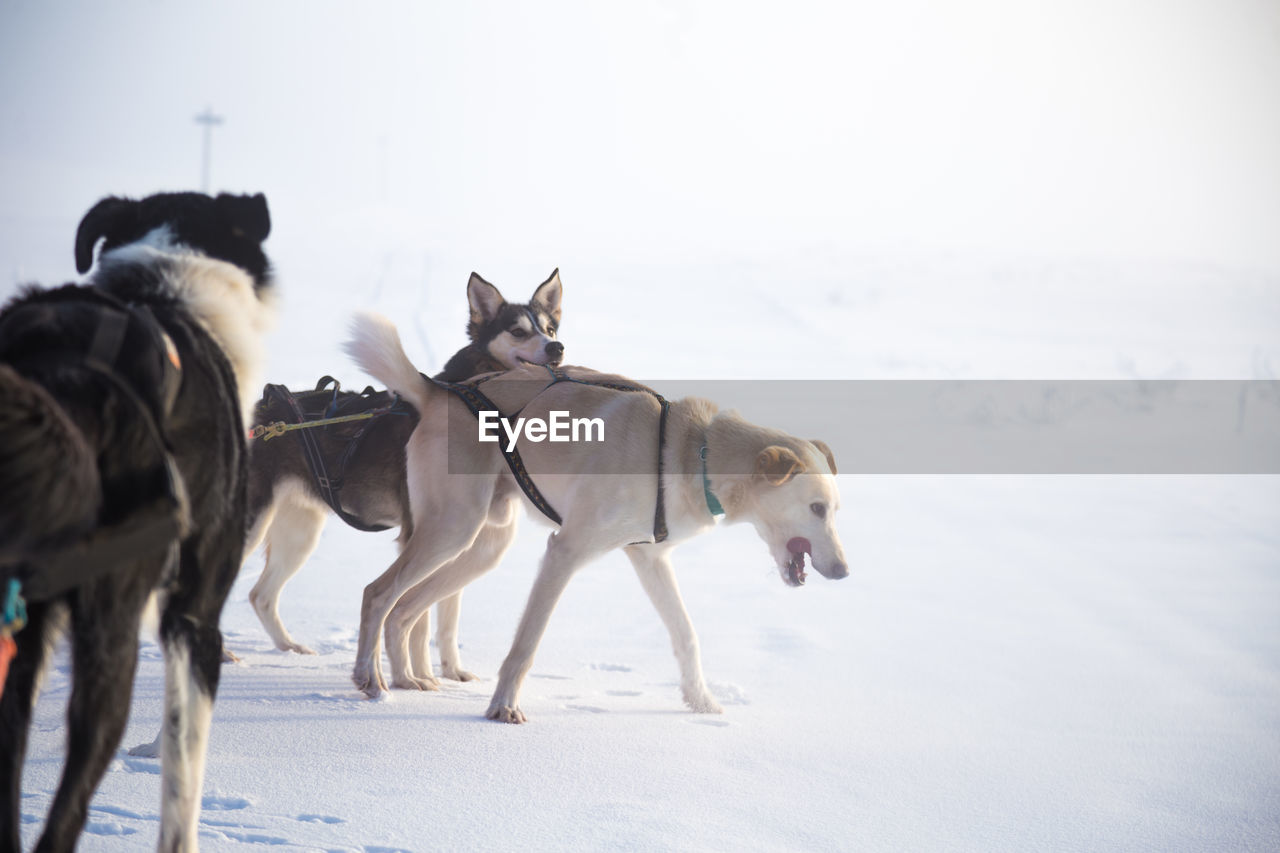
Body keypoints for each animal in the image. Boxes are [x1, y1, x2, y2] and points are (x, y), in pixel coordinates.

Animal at [240, 272, 560, 686]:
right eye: (518, 332)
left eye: (550, 328)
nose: (556, 348)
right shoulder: (415, 534)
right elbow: (416, 620)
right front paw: (413, 678)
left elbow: (446, 617)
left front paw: (451, 671)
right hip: (252, 525)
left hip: (299, 532)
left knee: (261, 595)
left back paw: (291, 648)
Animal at [345, 311, 844, 717]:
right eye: (816, 508)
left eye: (836, 509)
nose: (843, 571)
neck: (690, 451)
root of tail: (441, 392)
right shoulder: (565, 551)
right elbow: (526, 643)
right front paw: (503, 707)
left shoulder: (649, 558)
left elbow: (685, 633)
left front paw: (701, 701)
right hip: (454, 528)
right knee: (377, 593)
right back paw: (372, 680)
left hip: (481, 545)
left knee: (404, 609)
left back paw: (406, 679)